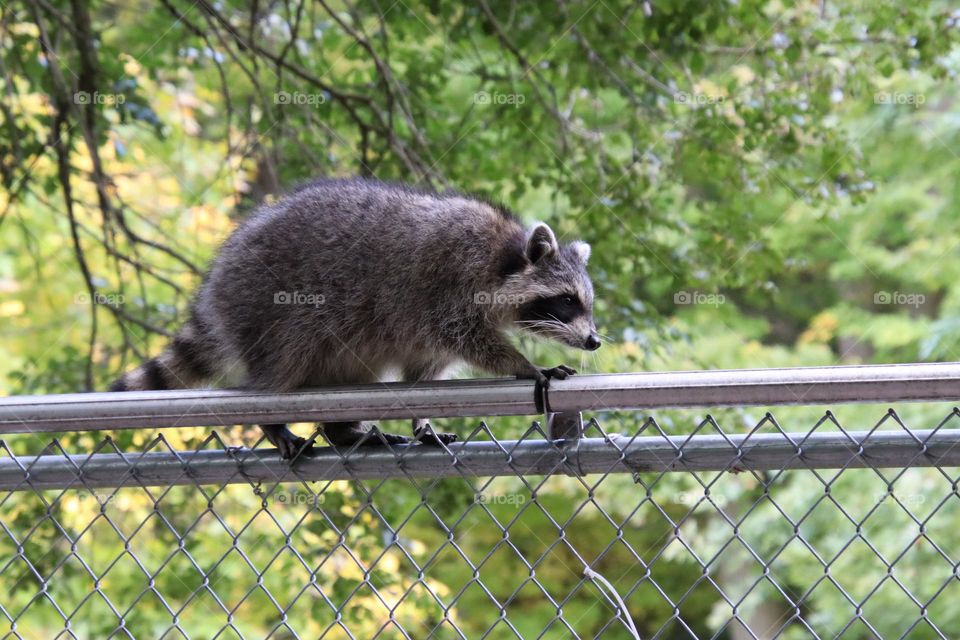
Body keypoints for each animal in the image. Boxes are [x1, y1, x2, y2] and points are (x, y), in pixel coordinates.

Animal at [110, 178, 600, 458]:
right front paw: (526, 365)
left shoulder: (432, 327)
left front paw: (421, 420)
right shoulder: (449, 284)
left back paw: (343, 430)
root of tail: (215, 285)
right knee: (283, 362)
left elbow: (424, 373)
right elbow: (468, 339)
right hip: (267, 304)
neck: (505, 255)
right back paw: (272, 413)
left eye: (585, 303)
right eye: (567, 301)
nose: (594, 341)